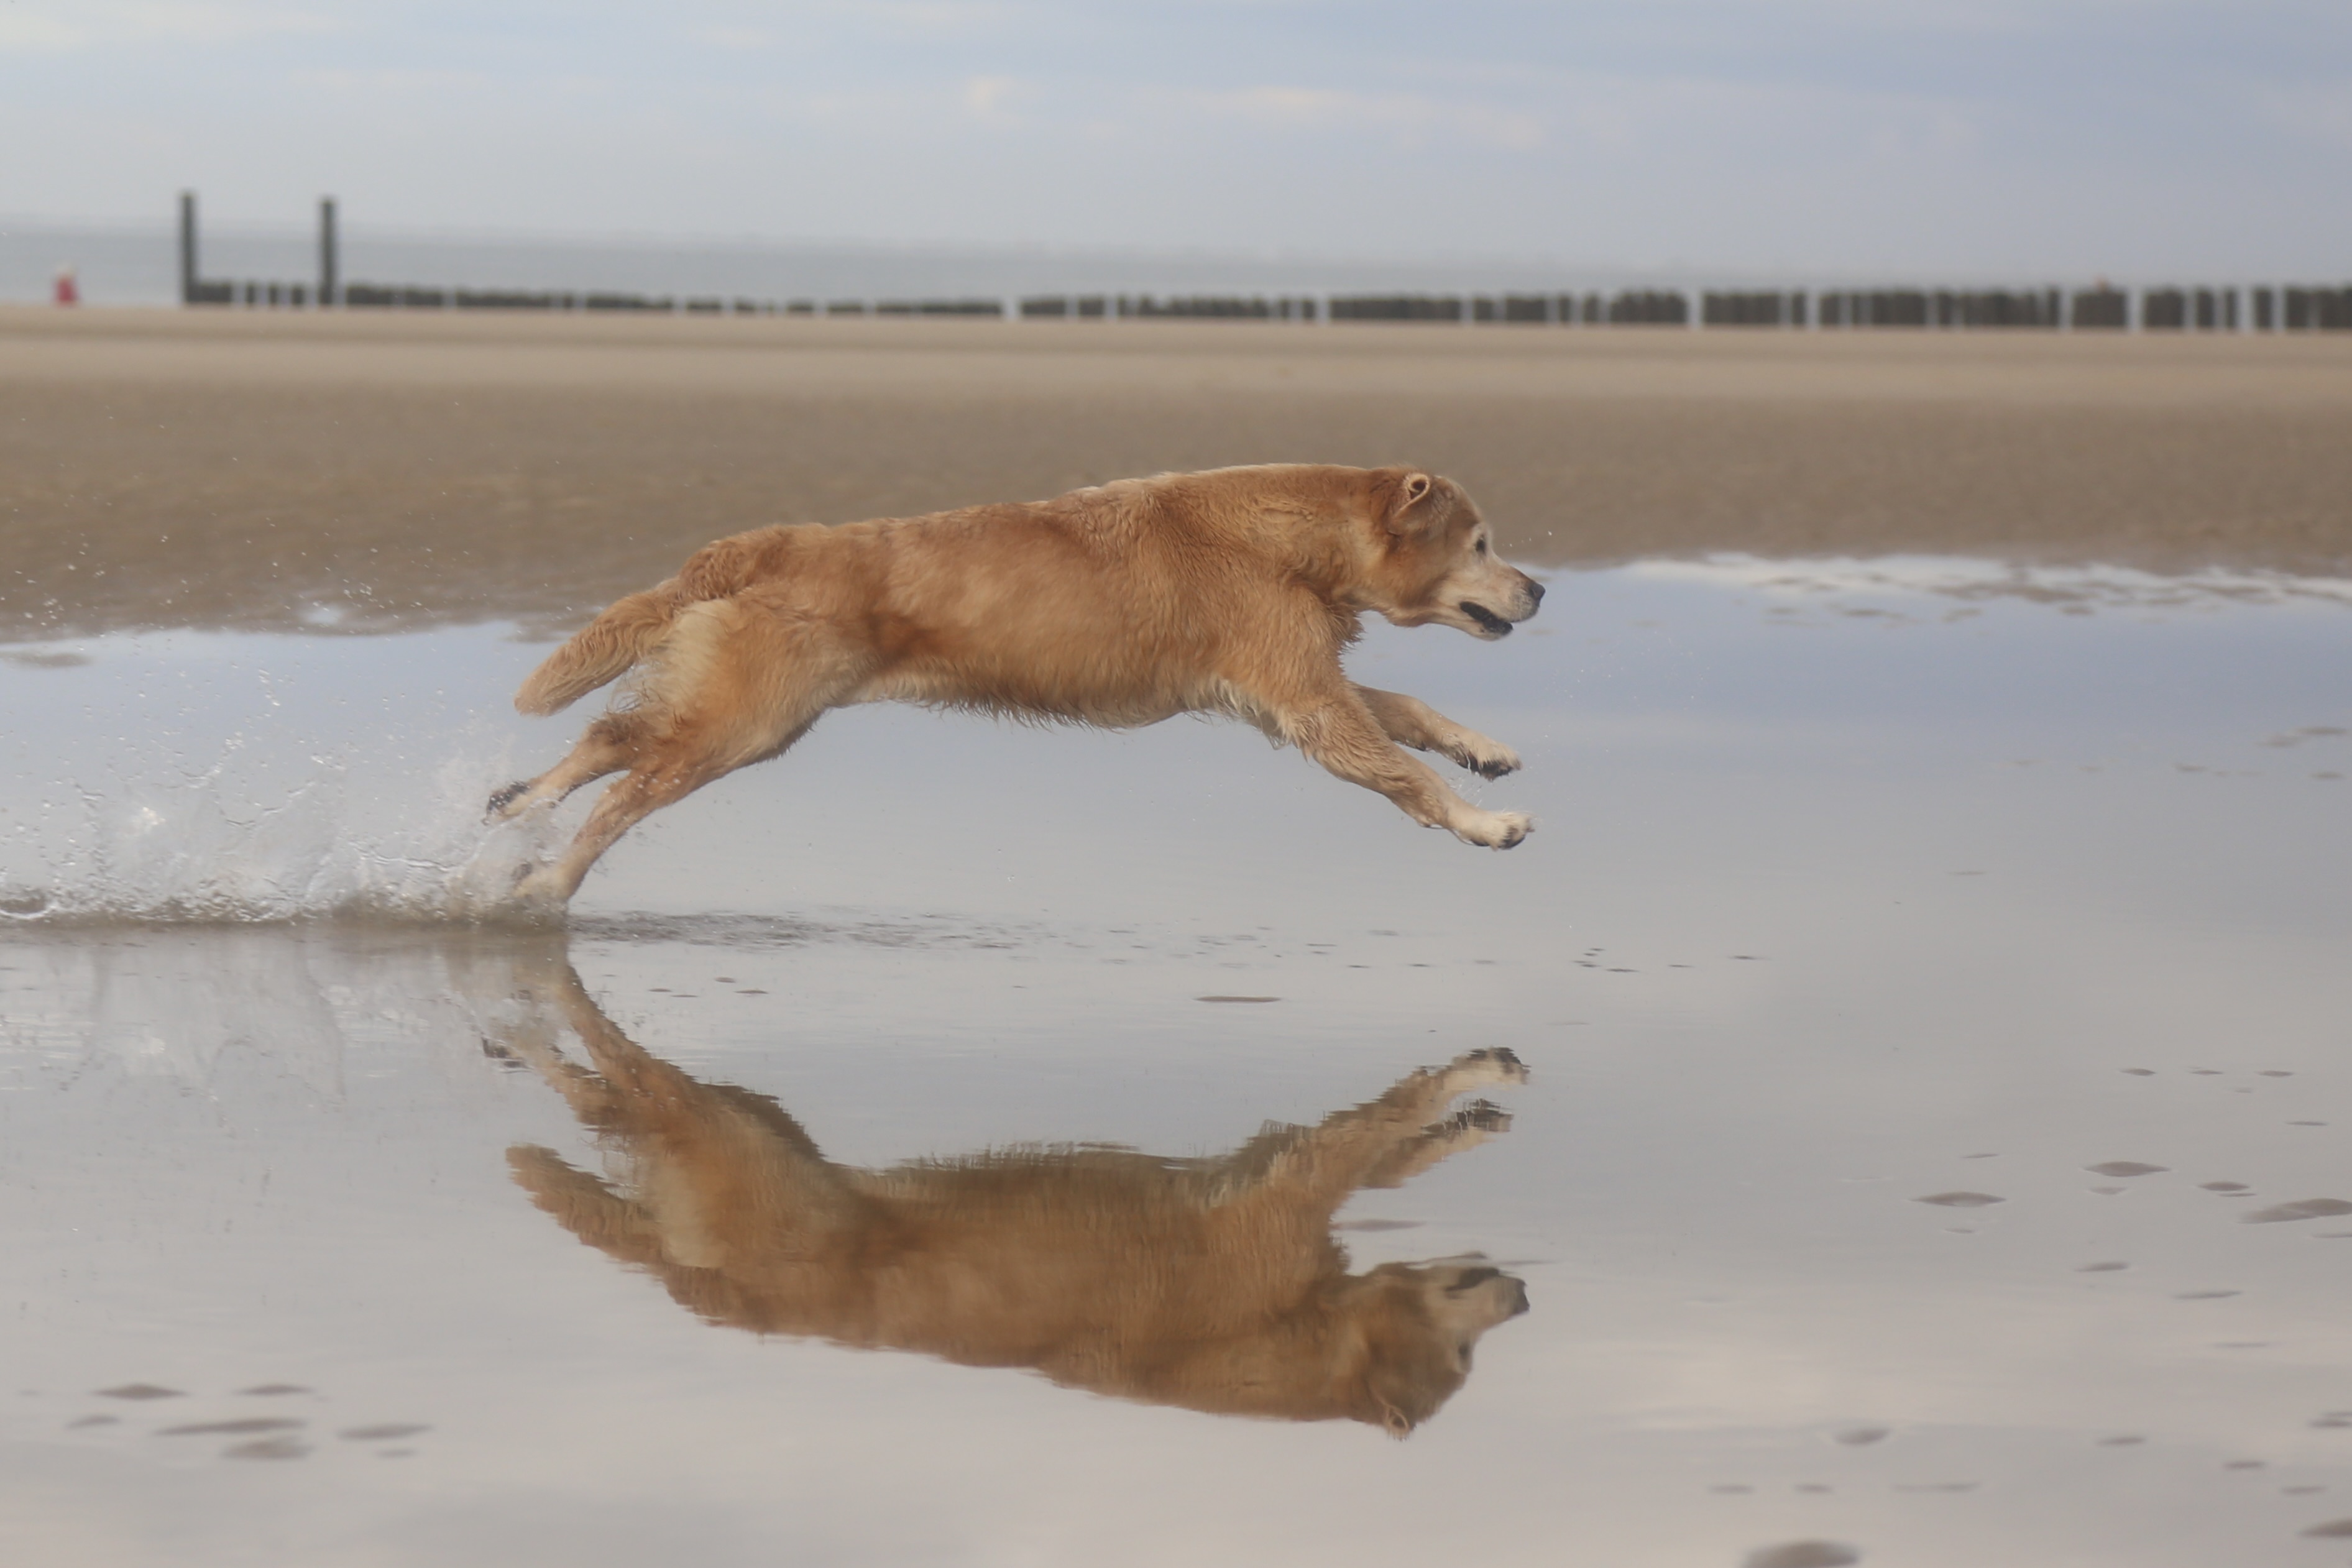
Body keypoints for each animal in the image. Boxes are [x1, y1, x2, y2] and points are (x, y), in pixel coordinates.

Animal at [489, 464, 1544, 903]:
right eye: (1481, 542)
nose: (1538, 587)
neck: (1287, 534)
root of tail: (760, 540)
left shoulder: (1285, 688)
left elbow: (1408, 713)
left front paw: (1485, 749)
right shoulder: (1307, 698)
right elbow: (1399, 768)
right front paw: (1483, 822)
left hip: (736, 706)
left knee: (611, 741)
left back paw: (516, 805)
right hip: (748, 719)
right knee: (623, 793)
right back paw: (549, 878)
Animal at [490, 959, 1530, 1434]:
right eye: (1465, 1355)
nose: (1524, 1294)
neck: (1288, 1333)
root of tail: (697, 1290)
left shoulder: (1278, 1160)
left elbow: (1401, 1151)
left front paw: (1474, 1113)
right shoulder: (1293, 1183)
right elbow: (1395, 1114)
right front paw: (1479, 1077)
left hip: (727, 1127)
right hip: (732, 1127)